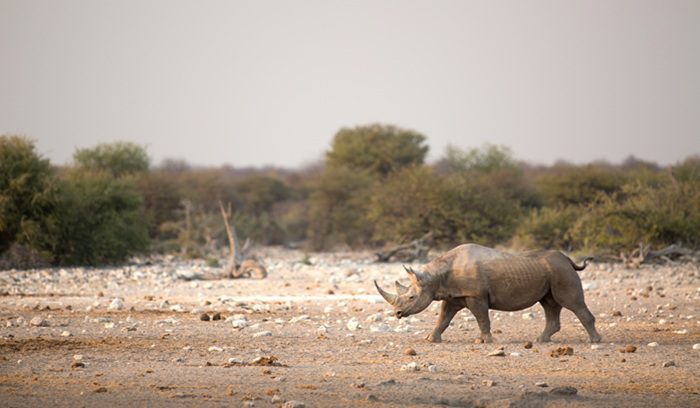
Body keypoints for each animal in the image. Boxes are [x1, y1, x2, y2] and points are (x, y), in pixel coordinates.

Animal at [374, 244, 602, 343]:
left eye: (411, 298)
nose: (397, 314)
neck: (434, 277)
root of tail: (567, 259)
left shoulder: (476, 295)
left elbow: (482, 318)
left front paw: (485, 341)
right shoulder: (454, 295)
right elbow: (444, 317)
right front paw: (431, 339)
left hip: (561, 271)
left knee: (571, 302)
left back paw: (595, 341)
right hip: (552, 273)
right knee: (549, 304)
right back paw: (541, 340)